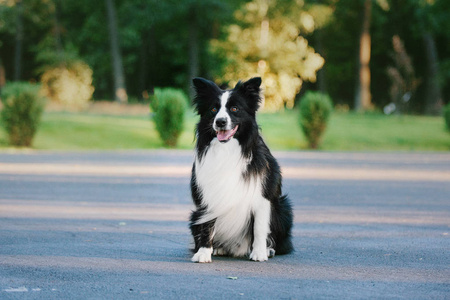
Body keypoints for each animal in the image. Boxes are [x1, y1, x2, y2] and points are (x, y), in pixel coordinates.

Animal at [189, 77, 292, 262]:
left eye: (234, 108)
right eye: (213, 109)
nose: (220, 122)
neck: (228, 149)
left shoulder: (263, 196)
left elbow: (259, 227)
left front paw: (259, 252)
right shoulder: (208, 194)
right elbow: (207, 224)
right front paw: (203, 252)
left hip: (284, 209)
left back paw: (268, 249)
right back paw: (219, 248)